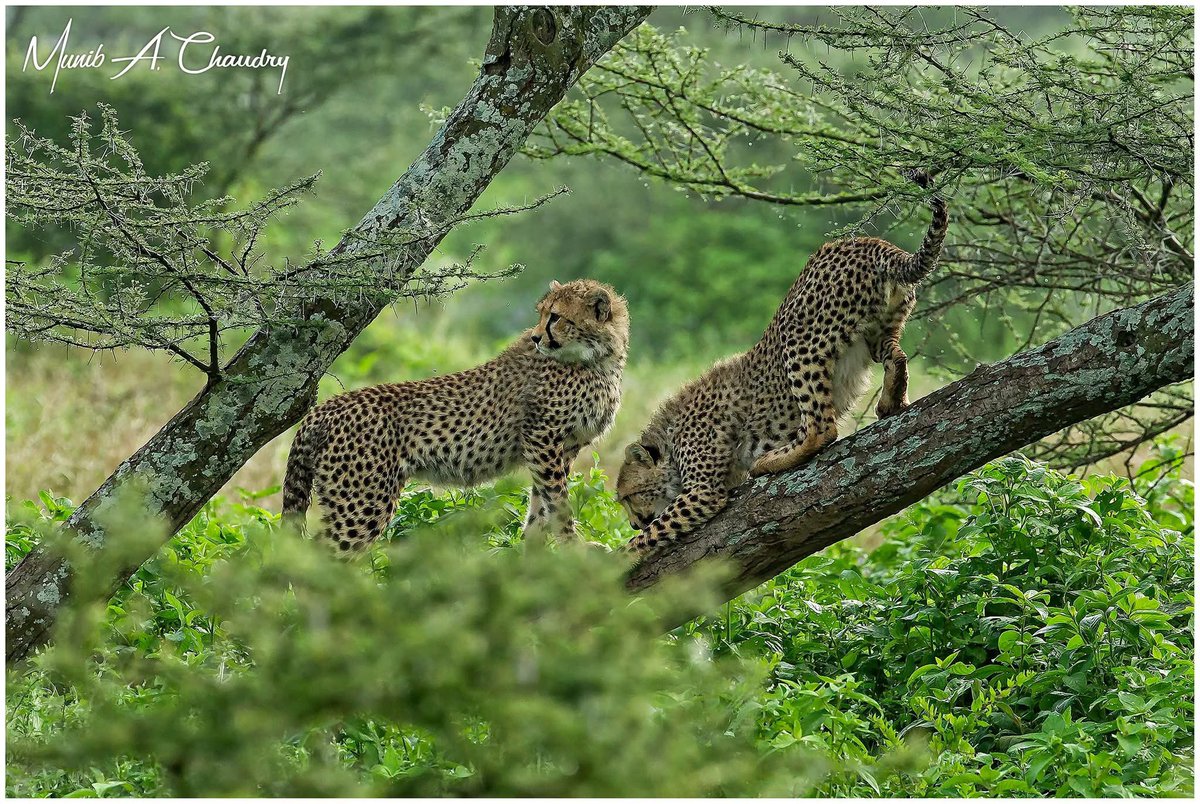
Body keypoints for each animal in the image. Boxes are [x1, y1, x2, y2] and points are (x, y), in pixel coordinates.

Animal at [282, 279, 629, 552]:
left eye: (555, 317)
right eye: (542, 313)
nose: (535, 337)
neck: (599, 359)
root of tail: (325, 407)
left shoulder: (562, 446)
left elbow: (541, 503)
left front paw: (533, 552)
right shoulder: (541, 437)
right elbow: (558, 501)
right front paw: (574, 548)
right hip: (362, 503)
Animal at [617, 175, 948, 555]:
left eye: (629, 496)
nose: (634, 521)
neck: (670, 440)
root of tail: (868, 243)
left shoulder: (703, 492)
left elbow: (649, 535)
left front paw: (612, 557)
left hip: (797, 338)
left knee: (822, 428)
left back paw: (768, 460)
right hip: (881, 331)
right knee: (897, 357)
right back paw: (891, 403)